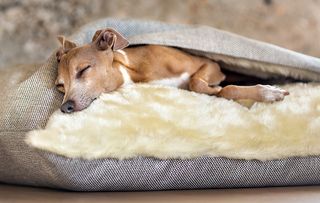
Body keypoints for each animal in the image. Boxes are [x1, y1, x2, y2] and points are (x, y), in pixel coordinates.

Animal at [55, 28, 290, 113]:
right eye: (60, 86)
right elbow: (215, 89)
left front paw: (268, 92)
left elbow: (201, 83)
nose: (66, 107)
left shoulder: (210, 64)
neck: (133, 71)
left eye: (84, 69)